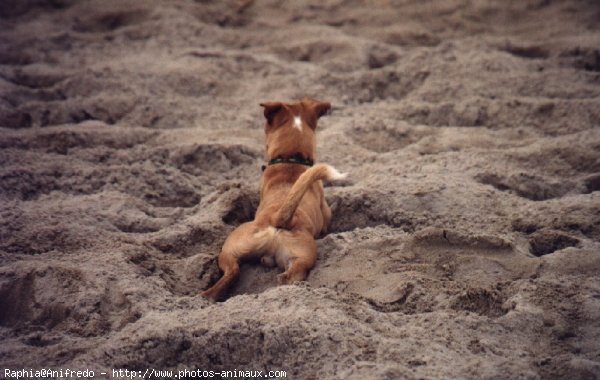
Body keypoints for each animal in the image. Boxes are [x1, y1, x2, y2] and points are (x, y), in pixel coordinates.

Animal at [200, 98, 344, 300]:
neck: (291, 160)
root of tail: (279, 218)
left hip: (229, 251)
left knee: (233, 271)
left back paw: (208, 295)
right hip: (296, 257)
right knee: (286, 276)